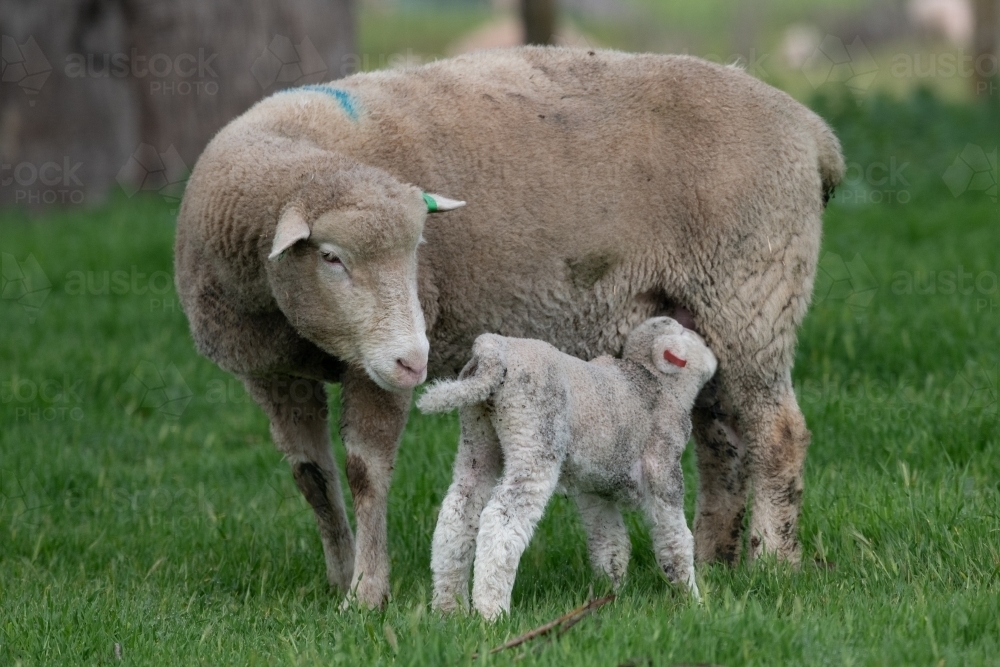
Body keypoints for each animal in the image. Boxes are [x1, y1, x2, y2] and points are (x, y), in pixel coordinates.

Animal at [418, 317, 717, 620]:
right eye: (689, 334)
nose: (713, 351)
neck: (656, 380)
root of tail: (492, 348)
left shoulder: (593, 488)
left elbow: (609, 543)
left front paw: (611, 595)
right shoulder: (664, 465)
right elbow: (674, 541)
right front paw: (693, 601)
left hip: (476, 435)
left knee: (458, 512)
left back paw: (449, 608)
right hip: (535, 437)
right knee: (501, 520)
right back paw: (491, 613)